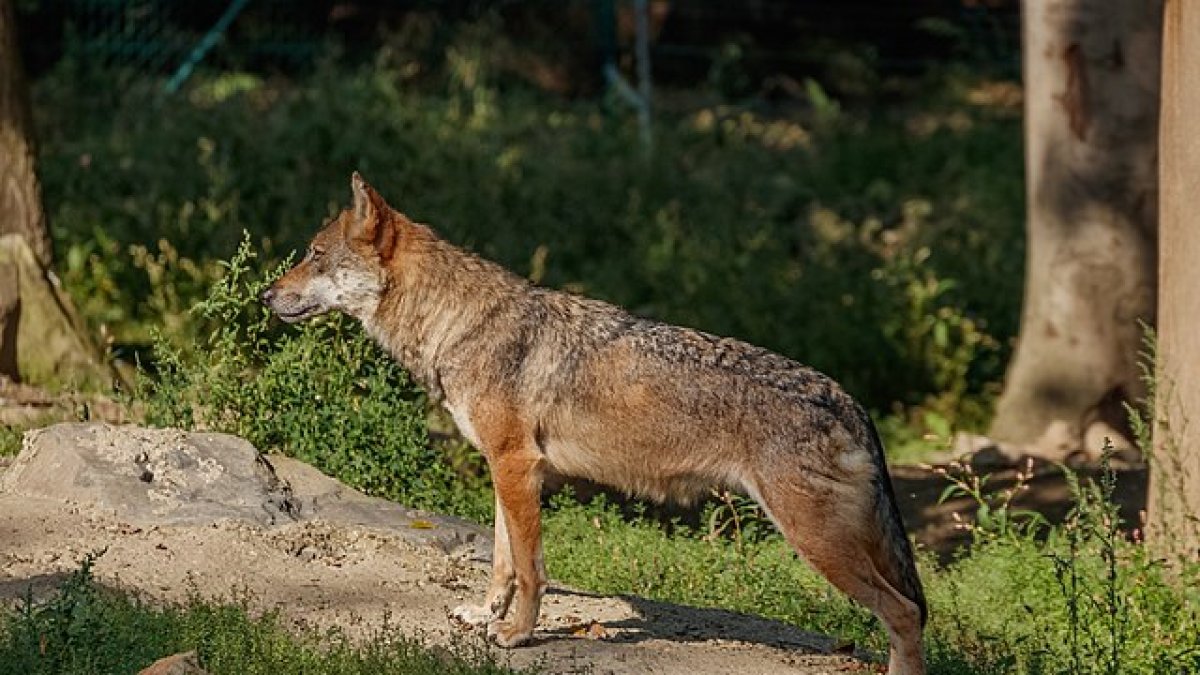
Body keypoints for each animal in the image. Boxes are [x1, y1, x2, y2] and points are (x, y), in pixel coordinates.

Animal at [262, 173, 927, 674]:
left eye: (313, 255)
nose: (266, 295)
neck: (458, 323)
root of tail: (848, 399)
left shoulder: (518, 467)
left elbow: (531, 570)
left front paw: (517, 636)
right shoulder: (505, 469)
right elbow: (502, 561)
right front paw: (484, 616)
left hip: (817, 543)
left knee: (906, 613)